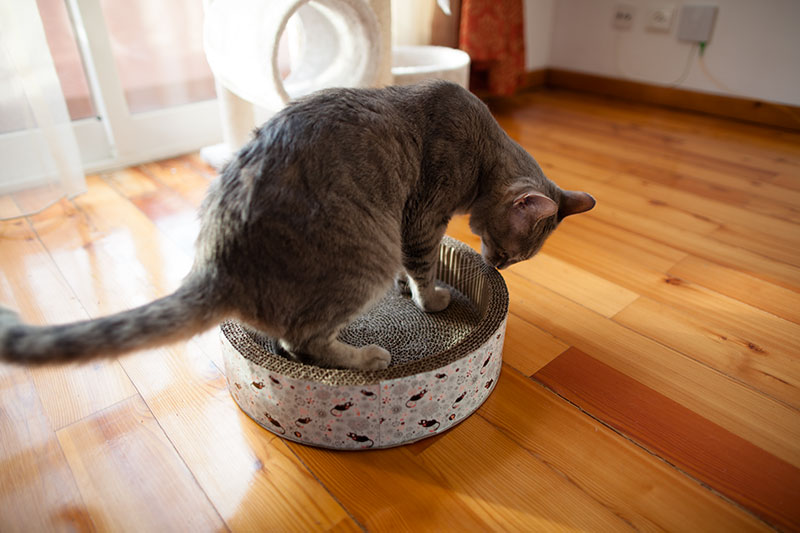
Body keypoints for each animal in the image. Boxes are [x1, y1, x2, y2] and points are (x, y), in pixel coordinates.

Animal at [0, 81, 592, 368]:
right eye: (510, 254)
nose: (500, 267)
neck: (484, 149)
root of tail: (217, 263)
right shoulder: (421, 217)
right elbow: (424, 270)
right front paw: (432, 299)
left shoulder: (410, 227)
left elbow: (413, 269)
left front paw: (410, 289)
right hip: (366, 258)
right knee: (301, 344)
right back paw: (367, 357)